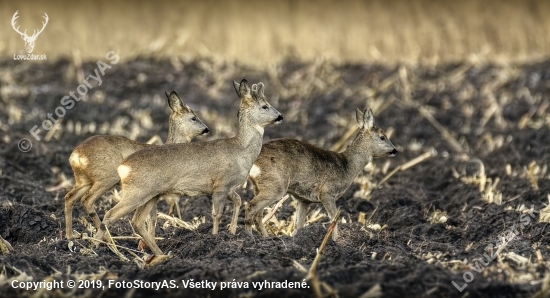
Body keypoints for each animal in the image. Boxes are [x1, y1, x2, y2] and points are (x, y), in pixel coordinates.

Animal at [63, 92, 210, 239]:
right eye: (194, 118)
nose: (206, 129)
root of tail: (75, 156)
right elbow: (151, 218)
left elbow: (152, 217)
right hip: (107, 177)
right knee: (87, 200)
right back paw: (106, 238)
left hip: (83, 180)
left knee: (69, 198)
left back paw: (71, 236)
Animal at [94, 79, 284, 256]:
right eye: (265, 106)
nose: (281, 116)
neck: (240, 150)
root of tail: (122, 166)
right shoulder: (221, 184)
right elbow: (216, 214)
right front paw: (215, 238)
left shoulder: (224, 187)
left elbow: (238, 201)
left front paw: (231, 232)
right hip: (137, 192)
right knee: (110, 215)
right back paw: (98, 249)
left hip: (151, 195)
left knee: (137, 221)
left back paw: (159, 254)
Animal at [246, 108, 396, 241]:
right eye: (382, 137)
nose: (395, 150)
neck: (347, 166)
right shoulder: (327, 192)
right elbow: (334, 218)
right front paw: (336, 242)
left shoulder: (304, 199)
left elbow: (298, 224)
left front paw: (296, 239)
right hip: (275, 186)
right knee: (250, 207)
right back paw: (249, 237)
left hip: (259, 186)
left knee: (257, 214)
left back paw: (265, 238)